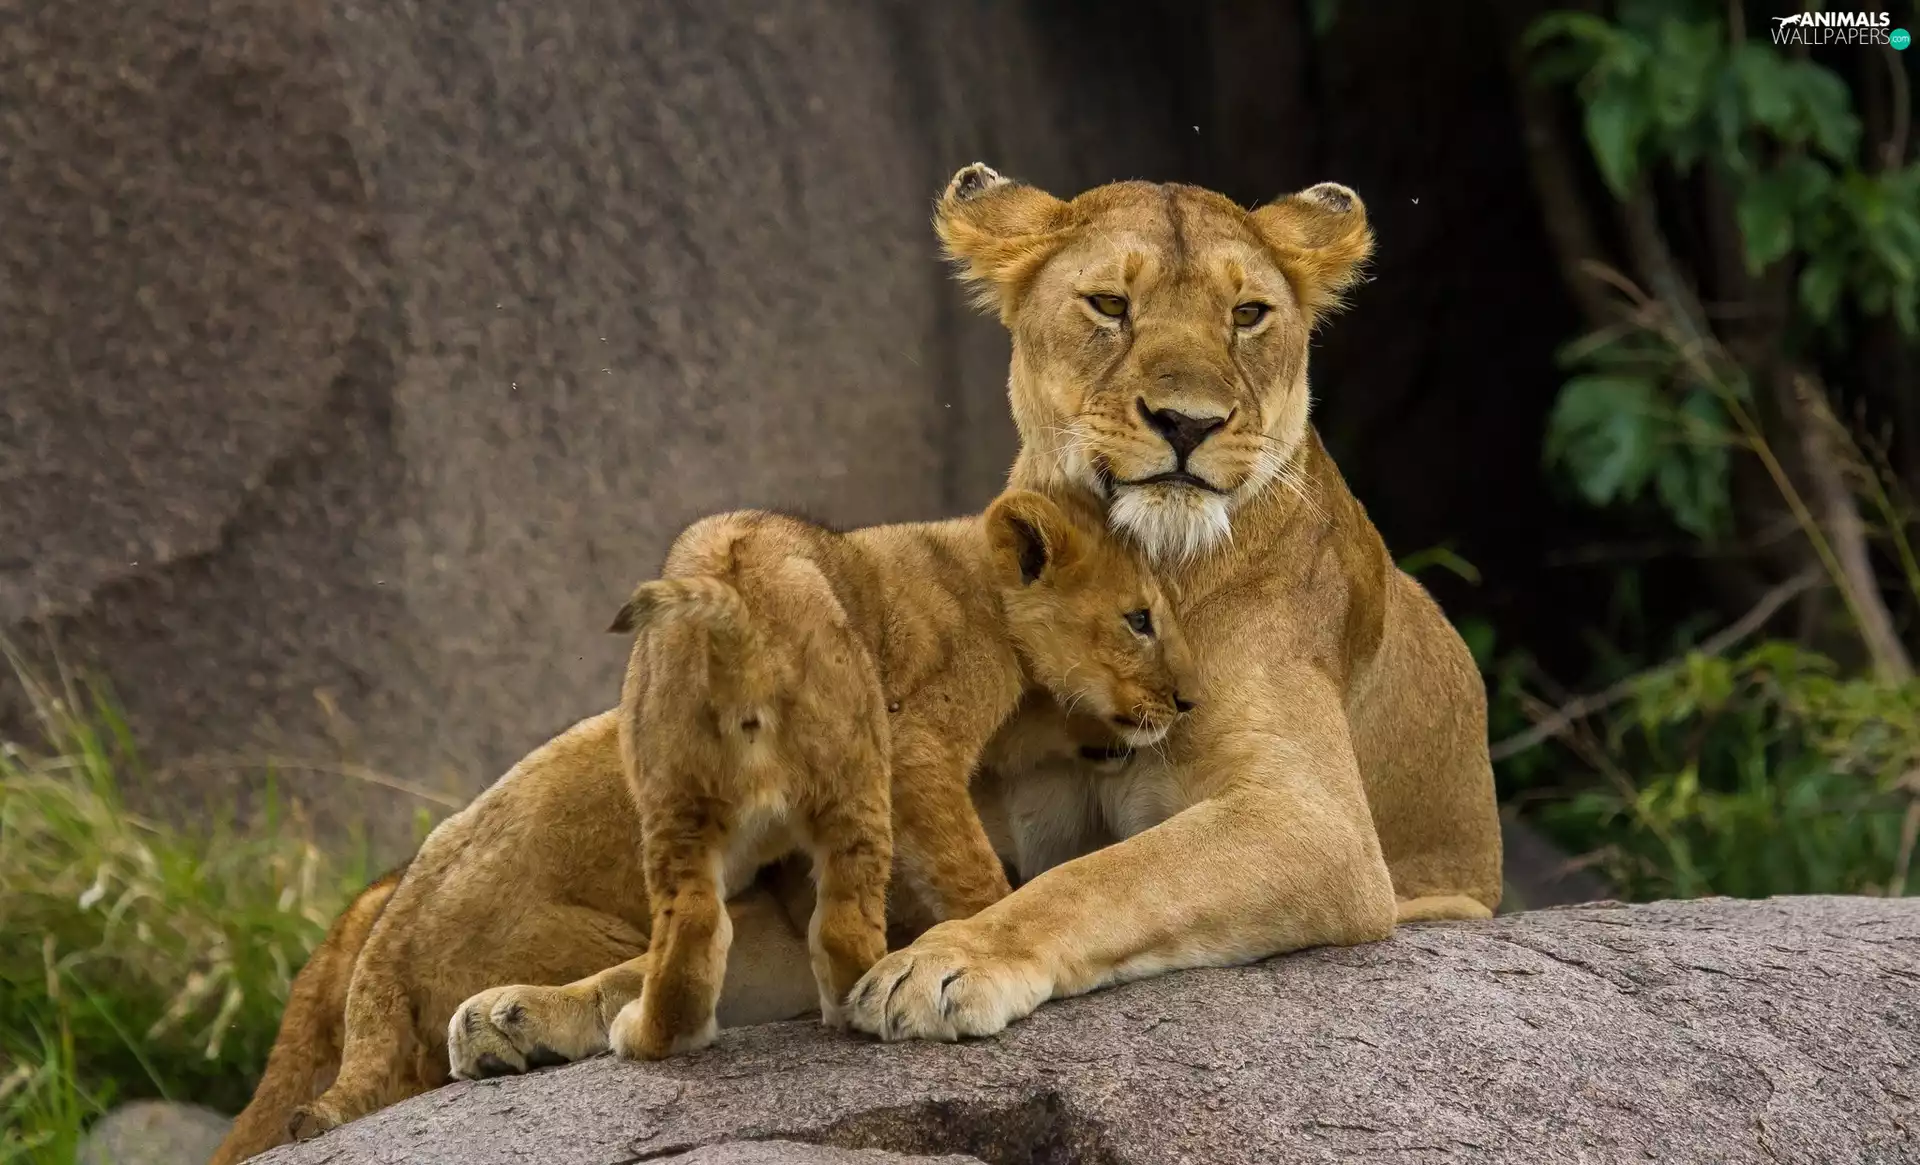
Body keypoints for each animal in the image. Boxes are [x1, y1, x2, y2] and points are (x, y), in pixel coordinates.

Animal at [229, 487, 1190, 1151]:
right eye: (1139, 619)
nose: (1187, 700)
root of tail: (384, 938)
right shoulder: (921, 740)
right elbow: (971, 872)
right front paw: (968, 942)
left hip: (677, 798)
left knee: (684, 941)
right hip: (835, 772)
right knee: (813, 937)